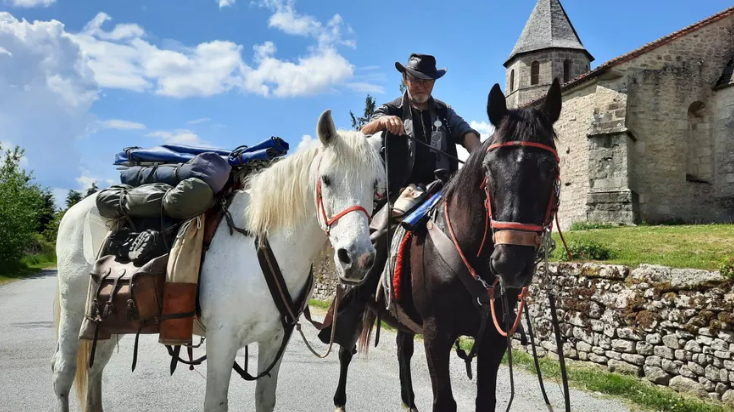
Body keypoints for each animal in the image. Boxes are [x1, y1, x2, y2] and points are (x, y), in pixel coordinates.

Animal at [50, 109, 387, 412]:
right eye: (327, 180)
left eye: (375, 185)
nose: (357, 259)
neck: (262, 247)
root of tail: (77, 210)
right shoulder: (221, 341)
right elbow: (216, 403)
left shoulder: (275, 341)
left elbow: (265, 400)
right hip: (74, 311)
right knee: (63, 373)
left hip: (108, 320)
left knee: (95, 366)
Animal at [324, 79, 563, 412]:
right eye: (488, 169)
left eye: (551, 168)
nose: (510, 263)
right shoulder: (437, 334)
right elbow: (444, 402)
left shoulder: (494, 339)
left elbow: (486, 400)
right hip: (355, 300)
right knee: (346, 349)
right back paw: (340, 401)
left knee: (402, 349)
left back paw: (408, 402)